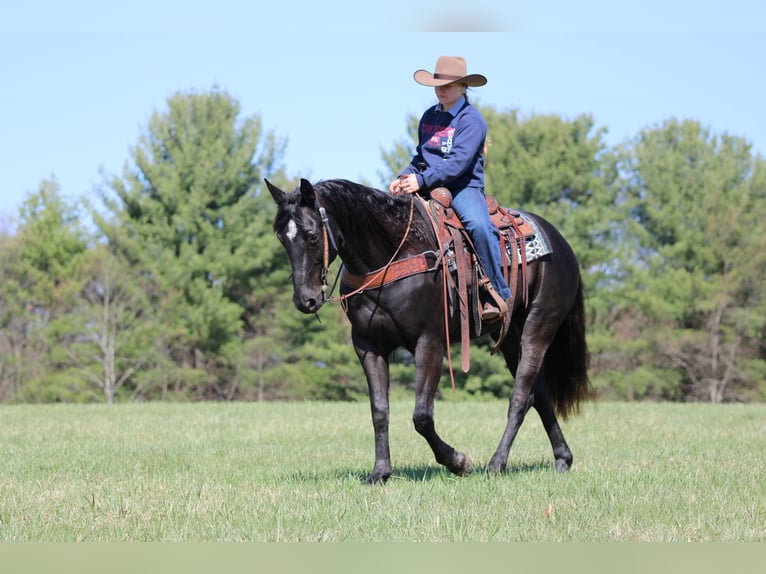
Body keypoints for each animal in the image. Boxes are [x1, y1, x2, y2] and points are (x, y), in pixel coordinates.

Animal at [266, 178, 590, 483]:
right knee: (539, 395)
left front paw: (458, 461)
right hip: (510, 337)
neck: (391, 255)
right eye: (282, 238)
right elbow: (379, 410)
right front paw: (380, 472)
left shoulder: (429, 342)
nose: (305, 300)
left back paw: (497, 464)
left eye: (311, 235)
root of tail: (560, 243)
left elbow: (421, 415)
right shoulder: (368, 345)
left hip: (538, 327)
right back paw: (563, 459)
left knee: (521, 397)